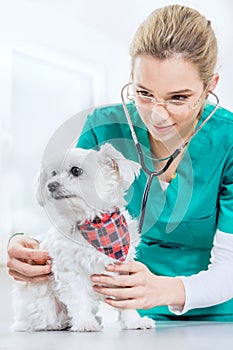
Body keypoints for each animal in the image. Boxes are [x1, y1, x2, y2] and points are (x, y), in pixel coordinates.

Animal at [12, 142, 155, 330]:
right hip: (45, 306)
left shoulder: (123, 270)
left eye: (75, 171)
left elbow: (127, 299)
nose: (51, 185)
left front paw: (134, 321)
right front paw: (85, 322)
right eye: (53, 173)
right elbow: (78, 300)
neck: (94, 222)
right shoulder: (70, 272)